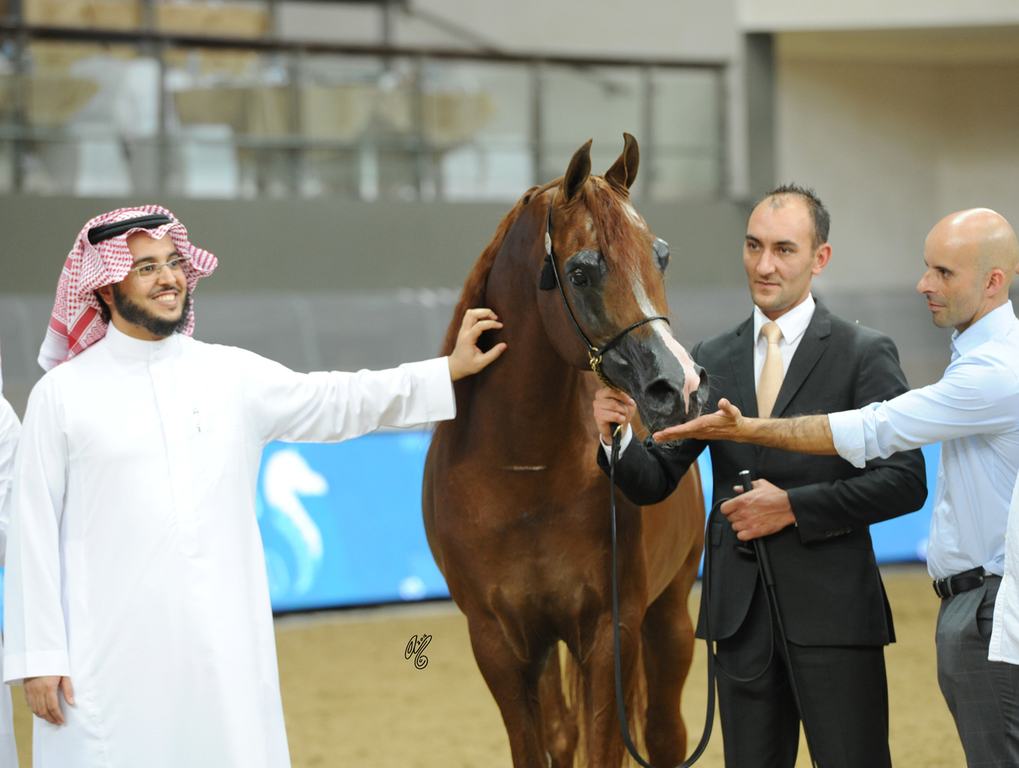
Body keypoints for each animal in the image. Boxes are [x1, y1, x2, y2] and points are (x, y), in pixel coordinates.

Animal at [422, 134, 708, 768]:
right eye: (579, 272)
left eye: (661, 256)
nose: (679, 386)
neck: (523, 473)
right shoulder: (499, 645)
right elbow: (539, 744)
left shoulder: (610, 633)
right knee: (562, 731)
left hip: (669, 615)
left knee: (665, 733)